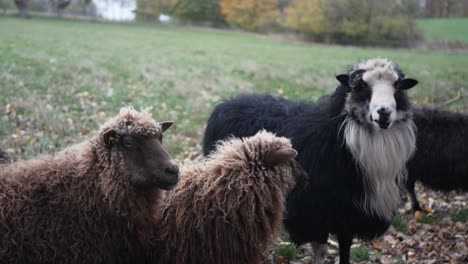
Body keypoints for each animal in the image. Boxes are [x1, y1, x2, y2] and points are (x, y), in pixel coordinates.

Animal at [203, 57, 418, 264]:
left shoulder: (349, 215)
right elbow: (321, 251)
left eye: (398, 86)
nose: (384, 112)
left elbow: (345, 251)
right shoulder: (315, 213)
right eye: (361, 86)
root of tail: (228, 102)